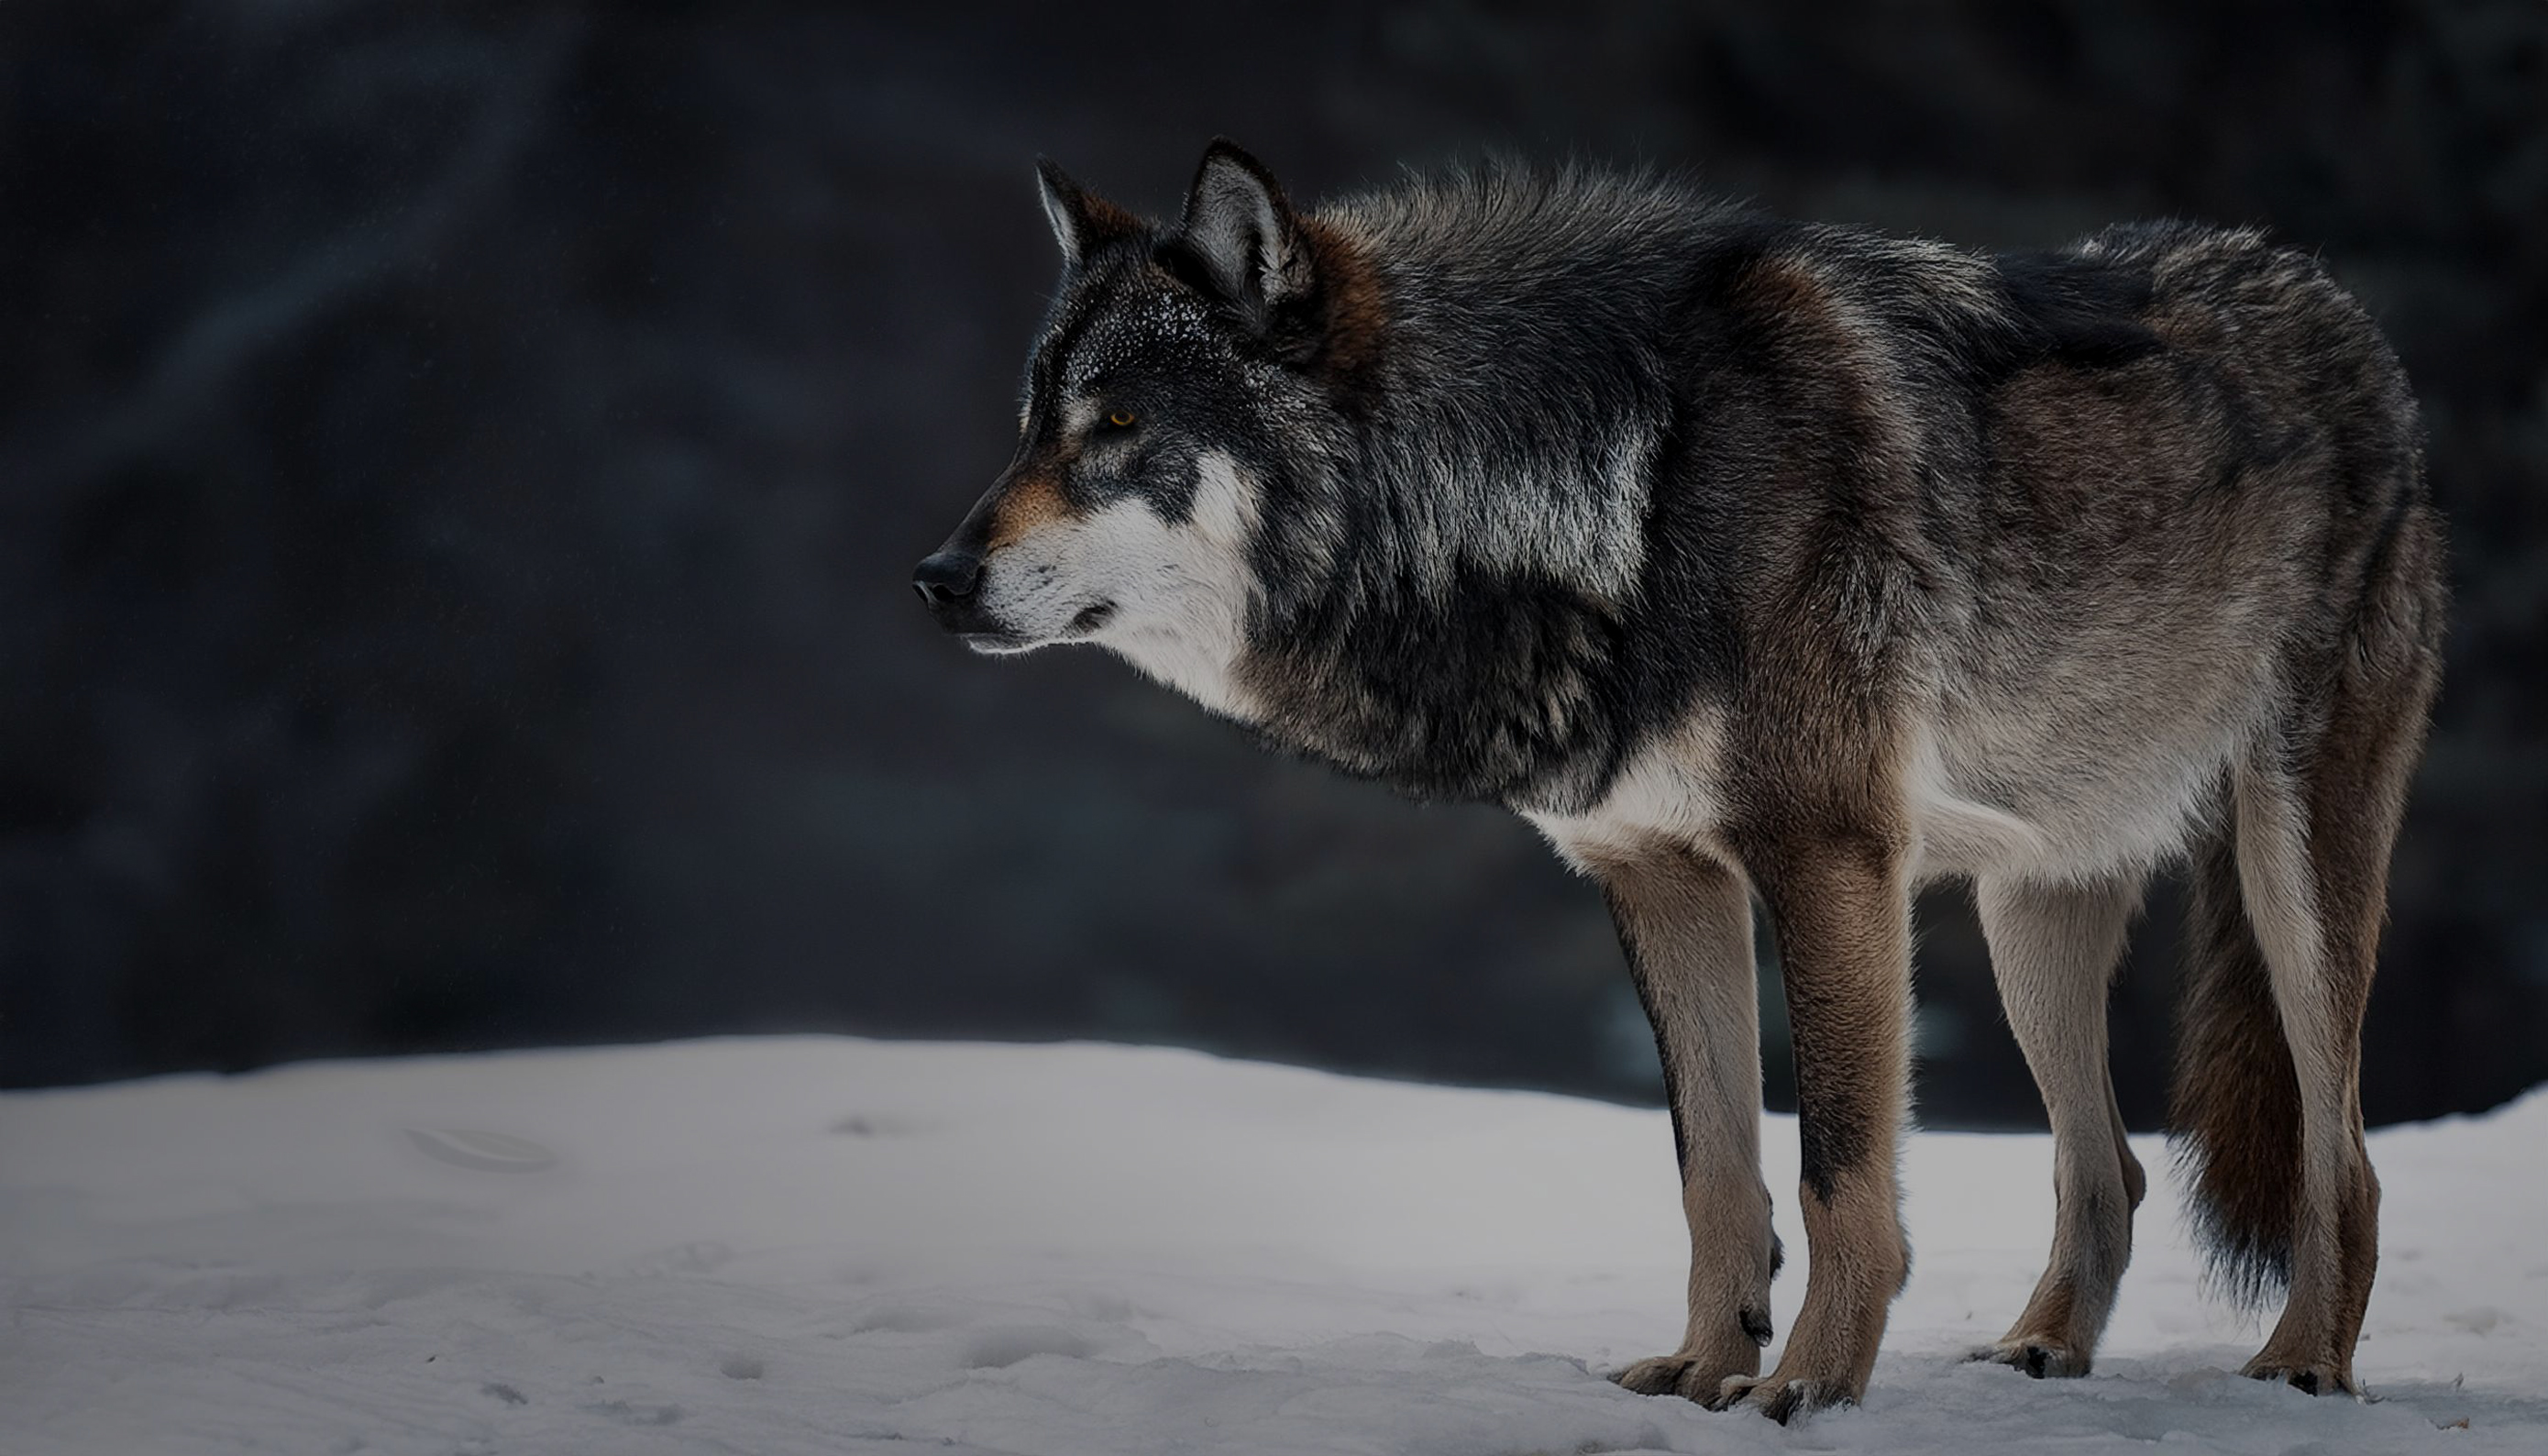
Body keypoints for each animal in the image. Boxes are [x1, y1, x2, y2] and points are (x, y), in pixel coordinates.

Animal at [917, 142, 2445, 1417]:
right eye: (1030, 423)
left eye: (1117, 426)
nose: (935, 578)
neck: (1616, 484)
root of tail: (2332, 297)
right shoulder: (1654, 874)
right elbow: (1713, 1171)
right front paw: (1705, 1370)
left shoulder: (1827, 851)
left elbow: (1837, 1173)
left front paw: (1806, 1389)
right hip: (2029, 911)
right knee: (2109, 1165)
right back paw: (2040, 1348)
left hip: (2290, 874)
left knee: (2345, 1159)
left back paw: (2301, 1365)